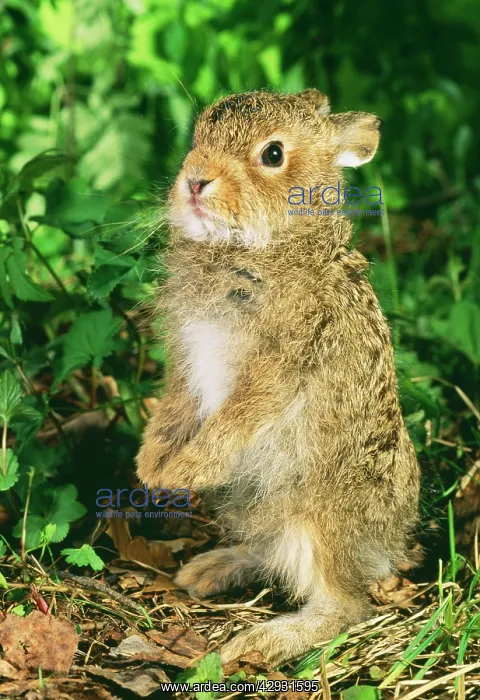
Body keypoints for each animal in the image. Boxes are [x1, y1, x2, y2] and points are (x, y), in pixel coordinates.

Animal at [136, 89, 420, 666]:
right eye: (198, 135)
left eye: (272, 155)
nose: (195, 180)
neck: (262, 247)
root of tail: (390, 542)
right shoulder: (187, 359)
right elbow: (175, 406)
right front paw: (152, 469)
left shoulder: (278, 369)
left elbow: (234, 419)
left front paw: (185, 473)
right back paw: (208, 570)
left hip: (319, 515)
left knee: (344, 607)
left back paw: (260, 641)